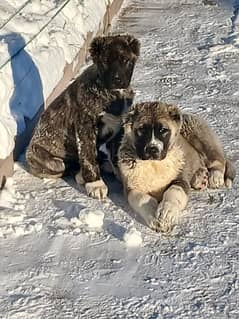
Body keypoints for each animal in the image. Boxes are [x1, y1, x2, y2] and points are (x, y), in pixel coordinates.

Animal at [25, 35, 140, 200]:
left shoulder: (120, 127)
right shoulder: (85, 126)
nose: (116, 79)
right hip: (53, 163)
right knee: (67, 167)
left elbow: (115, 153)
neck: (112, 93)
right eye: (105, 61)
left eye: (125, 60)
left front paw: (121, 173)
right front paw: (95, 184)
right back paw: (81, 175)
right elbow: (88, 156)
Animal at [116, 102, 234, 232]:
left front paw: (166, 212)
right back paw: (200, 177)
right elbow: (141, 199)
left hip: (199, 135)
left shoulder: (180, 178)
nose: (152, 149)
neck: (154, 164)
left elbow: (174, 191)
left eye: (163, 130)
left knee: (217, 159)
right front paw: (154, 217)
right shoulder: (131, 186)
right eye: (141, 129)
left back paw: (215, 176)